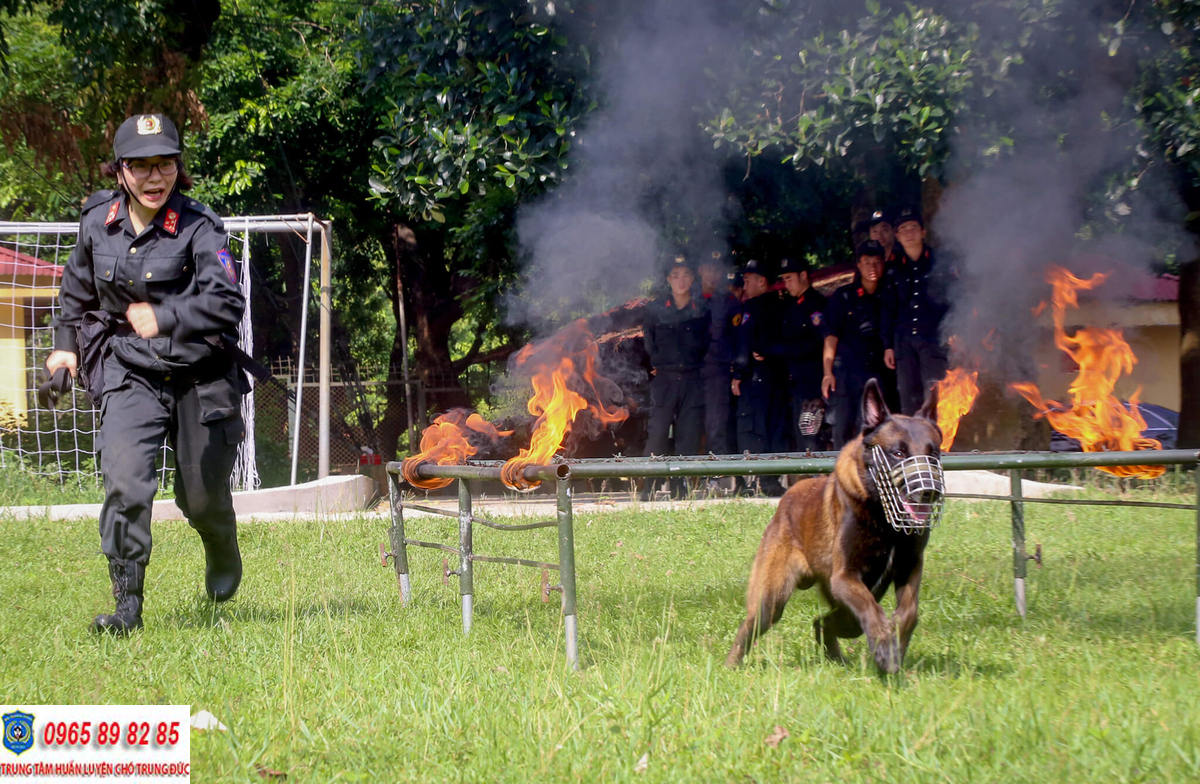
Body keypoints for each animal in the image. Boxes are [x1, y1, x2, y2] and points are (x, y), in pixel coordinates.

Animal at [720, 379, 945, 672]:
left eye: (934, 454)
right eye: (898, 453)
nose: (929, 491)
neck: (884, 519)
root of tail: (787, 498)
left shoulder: (909, 567)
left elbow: (909, 613)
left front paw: (894, 644)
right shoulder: (845, 576)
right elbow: (872, 611)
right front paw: (885, 649)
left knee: (826, 622)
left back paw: (836, 656)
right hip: (772, 599)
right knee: (750, 627)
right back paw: (731, 665)